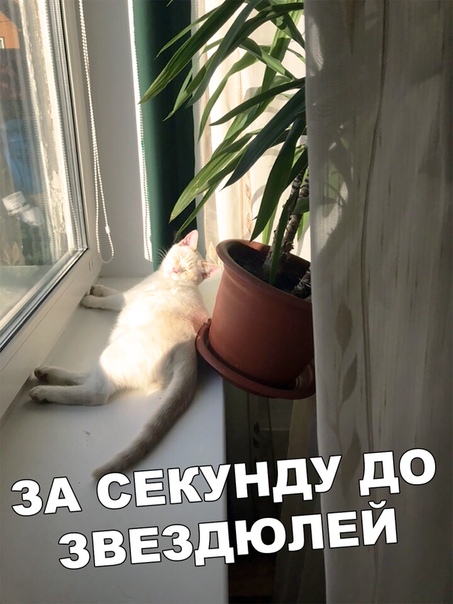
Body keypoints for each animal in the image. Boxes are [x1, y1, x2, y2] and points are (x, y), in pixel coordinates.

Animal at [29, 230, 218, 479]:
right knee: (85, 377)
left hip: (112, 355)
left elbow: (109, 300)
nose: (176, 270)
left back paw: (43, 391)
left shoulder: (126, 298)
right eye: (178, 260)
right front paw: (96, 288)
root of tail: (188, 347)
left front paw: (89, 298)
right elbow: (111, 291)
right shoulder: (127, 294)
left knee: (95, 392)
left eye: (186, 270)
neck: (164, 278)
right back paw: (45, 373)